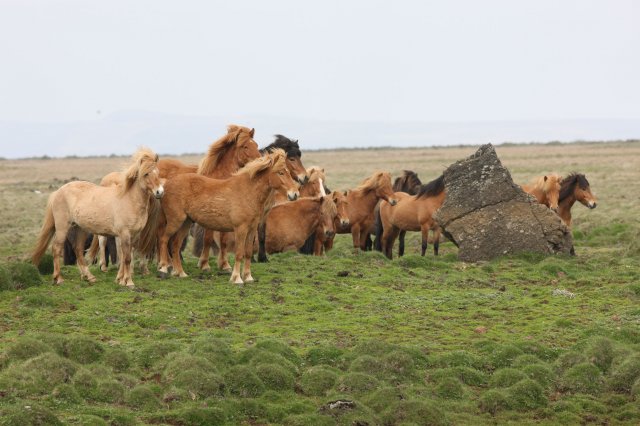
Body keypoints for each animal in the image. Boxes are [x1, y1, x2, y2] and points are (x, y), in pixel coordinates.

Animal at [31, 148, 165, 288]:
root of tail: (58, 192)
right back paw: (58, 278)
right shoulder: (124, 234)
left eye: (157, 172)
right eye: (146, 174)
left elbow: (124, 257)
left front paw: (121, 280)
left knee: (78, 249)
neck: (129, 199)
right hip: (63, 227)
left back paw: (89, 277)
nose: (159, 192)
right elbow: (127, 258)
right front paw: (128, 282)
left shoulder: (134, 236)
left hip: (80, 228)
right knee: (57, 248)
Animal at [156, 148, 298, 284]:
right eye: (280, 172)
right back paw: (163, 268)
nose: (295, 194)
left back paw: (180, 273)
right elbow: (239, 253)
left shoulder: (252, 229)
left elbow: (247, 253)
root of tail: (166, 185)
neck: (247, 192)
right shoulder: (240, 229)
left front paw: (248, 277)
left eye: (288, 172)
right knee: (163, 240)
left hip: (185, 223)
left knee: (175, 245)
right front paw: (236, 278)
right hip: (175, 221)